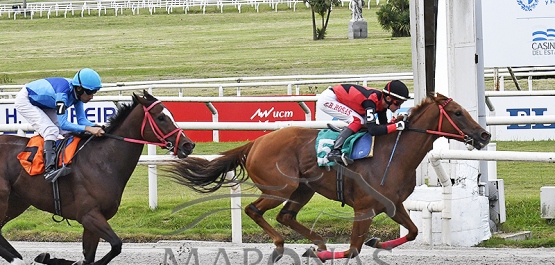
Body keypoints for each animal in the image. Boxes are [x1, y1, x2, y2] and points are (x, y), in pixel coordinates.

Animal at [0, 91, 195, 264]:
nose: (188, 145)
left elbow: (90, 256)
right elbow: (116, 245)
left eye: (171, 114)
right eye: (161, 117)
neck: (102, 161)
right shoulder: (89, 215)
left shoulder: (93, 222)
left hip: (16, 202)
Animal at [168, 92, 490, 260]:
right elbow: (351, 250)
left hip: (303, 189)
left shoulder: (392, 204)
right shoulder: (364, 209)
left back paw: (317, 243)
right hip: (280, 187)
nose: (484, 135)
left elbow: (412, 232)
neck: (394, 154)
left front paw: (376, 243)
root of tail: (255, 142)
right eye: (457, 112)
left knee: (285, 216)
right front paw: (321, 253)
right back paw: (283, 246)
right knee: (254, 209)